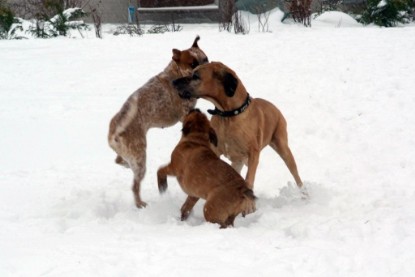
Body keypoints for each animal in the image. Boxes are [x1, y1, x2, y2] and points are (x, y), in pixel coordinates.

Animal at [109, 36, 210, 207]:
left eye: (206, 59)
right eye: (192, 64)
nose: (206, 69)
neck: (174, 73)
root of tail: (115, 130)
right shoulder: (185, 111)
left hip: (129, 156)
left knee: (118, 160)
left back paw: (125, 165)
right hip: (140, 158)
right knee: (135, 186)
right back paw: (140, 204)